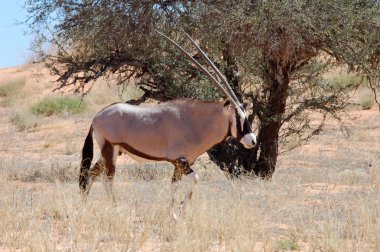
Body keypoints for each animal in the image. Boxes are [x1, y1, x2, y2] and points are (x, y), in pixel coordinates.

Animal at [78, 31, 256, 217]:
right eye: (238, 117)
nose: (253, 140)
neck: (194, 122)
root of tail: (97, 116)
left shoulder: (181, 164)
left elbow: (174, 186)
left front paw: (173, 213)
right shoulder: (179, 161)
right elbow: (194, 179)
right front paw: (180, 210)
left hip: (111, 152)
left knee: (90, 175)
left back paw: (84, 207)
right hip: (110, 150)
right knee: (107, 180)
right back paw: (116, 209)